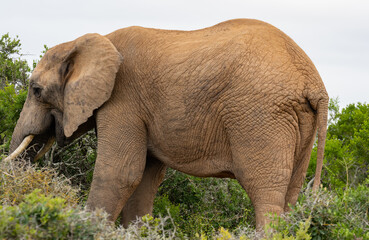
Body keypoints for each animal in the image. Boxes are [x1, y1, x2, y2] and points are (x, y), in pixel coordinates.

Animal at [7, 18, 326, 229]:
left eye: (36, 90)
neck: (85, 42)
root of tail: (314, 83)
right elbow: (144, 178)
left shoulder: (123, 99)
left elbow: (120, 172)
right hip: (296, 120)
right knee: (290, 194)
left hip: (260, 114)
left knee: (265, 193)